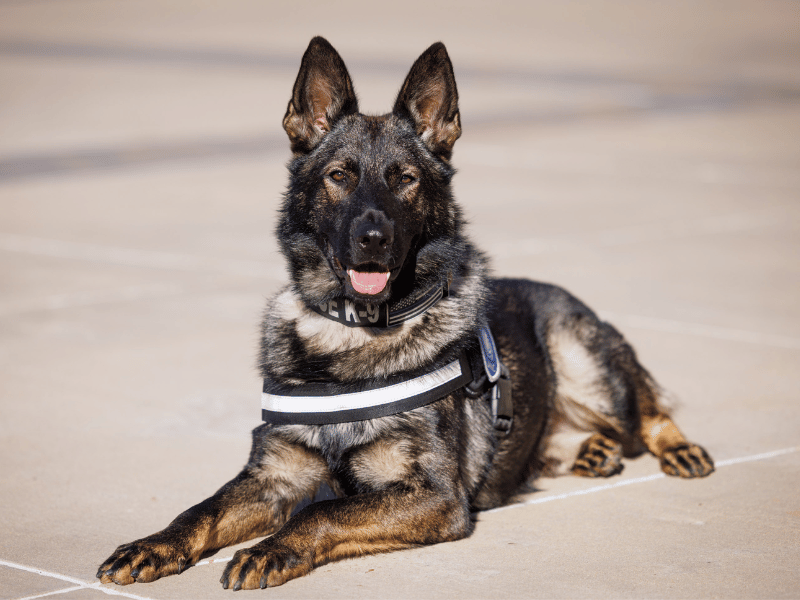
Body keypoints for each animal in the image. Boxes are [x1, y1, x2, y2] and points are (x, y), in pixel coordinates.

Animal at [97, 36, 716, 592]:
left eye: (405, 180)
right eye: (339, 176)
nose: (373, 239)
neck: (352, 331)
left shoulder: (433, 496)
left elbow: (321, 511)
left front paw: (270, 550)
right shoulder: (273, 475)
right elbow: (200, 509)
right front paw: (154, 544)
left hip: (582, 357)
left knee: (647, 409)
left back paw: (678, 449)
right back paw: (594, 451)